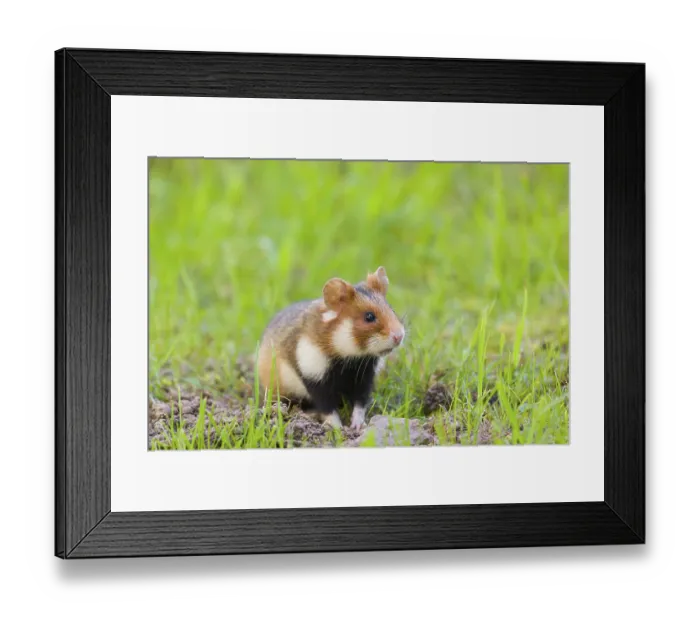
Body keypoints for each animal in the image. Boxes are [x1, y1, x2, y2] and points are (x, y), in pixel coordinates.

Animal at [257, 266, 405, 430]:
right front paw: (338, 429)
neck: (347, 355)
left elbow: (360, 403)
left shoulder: (365, 377)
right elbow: (328, 408)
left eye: (392, 309)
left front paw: (357, 426)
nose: (399, 336)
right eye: (369, 316)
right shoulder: (314, 378)